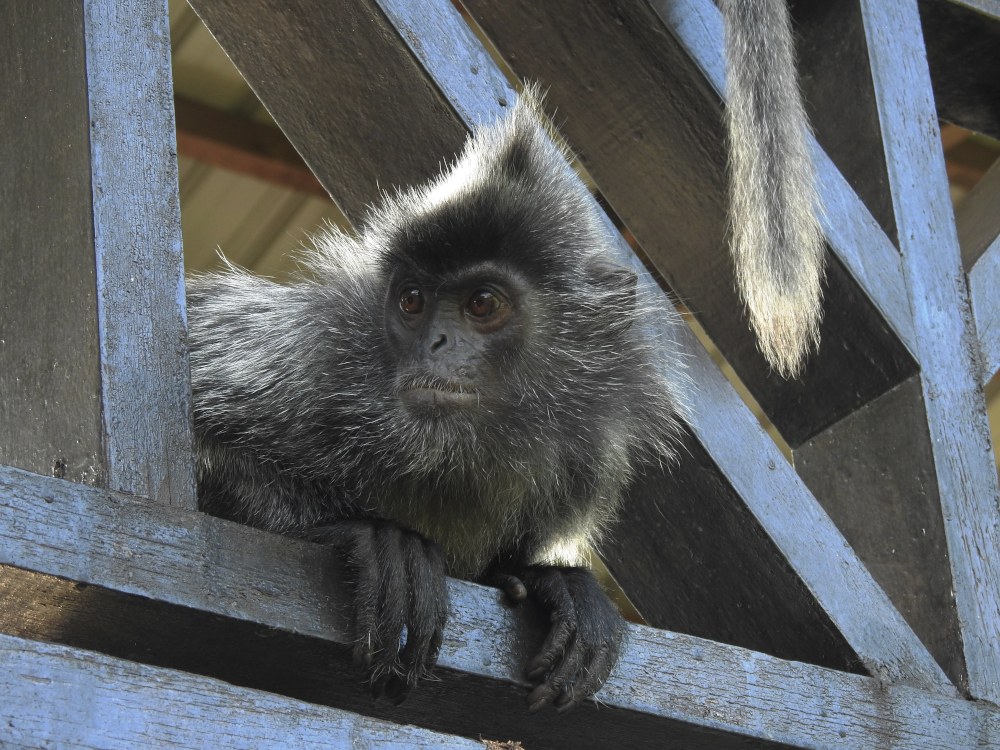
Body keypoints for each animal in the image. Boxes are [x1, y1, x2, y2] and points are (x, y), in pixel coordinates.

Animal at [186, 86, 688, 712]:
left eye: (481, 303)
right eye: (411, 301)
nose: (435, 343)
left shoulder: (586, 455)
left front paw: (555, 581)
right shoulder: (304, 361)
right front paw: (374, 538)